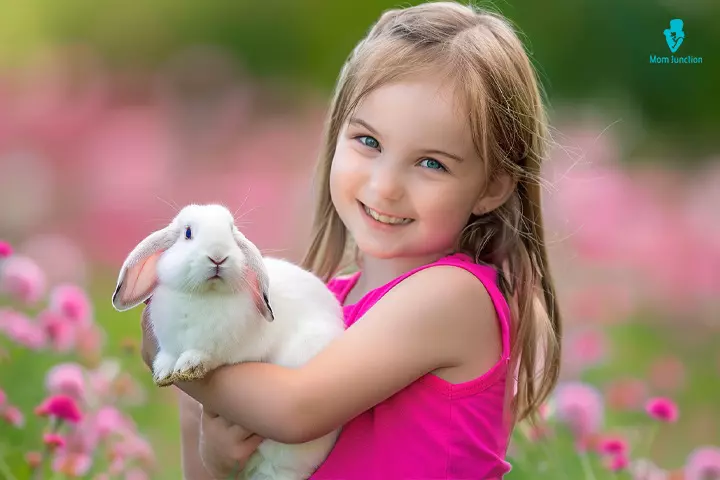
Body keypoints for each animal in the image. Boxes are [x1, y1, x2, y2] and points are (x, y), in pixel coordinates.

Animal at [112, 203, 346, 480]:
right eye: (188, 233)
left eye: (231, 231)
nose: (217, 256)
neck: (204, 296)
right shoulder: (170, 342)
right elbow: (168, 356)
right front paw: (164, 373)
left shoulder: (226, 350)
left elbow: (204, 355)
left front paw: (189, 366)